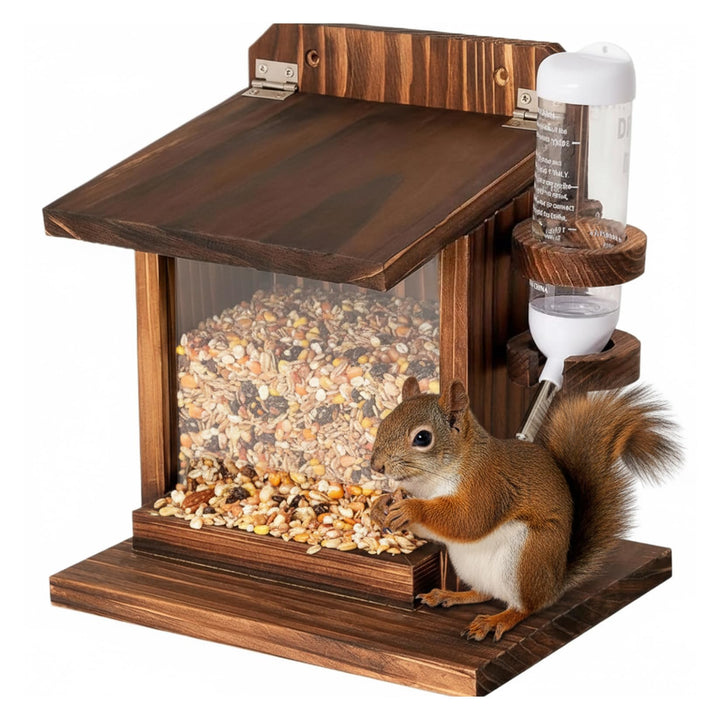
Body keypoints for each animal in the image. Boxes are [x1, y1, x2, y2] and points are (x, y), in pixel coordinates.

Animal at [369, 376, 680, 642]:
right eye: (384, 422)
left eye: (422, 438)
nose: (376, 466)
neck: (432, 481)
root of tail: (554, 585)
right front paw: (380, 504)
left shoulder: (489, 487)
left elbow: (468, 521)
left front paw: (411, 510)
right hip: (469, 564)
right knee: (485, 592)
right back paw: (450, 596)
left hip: (525, 557)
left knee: (524, 607)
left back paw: (495, 621)